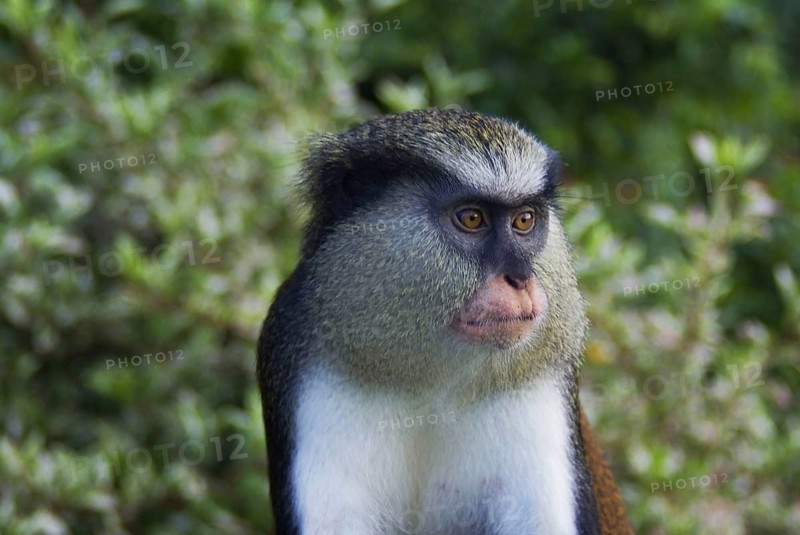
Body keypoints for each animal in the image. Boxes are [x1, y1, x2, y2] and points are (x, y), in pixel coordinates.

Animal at [257, 108, 633, 535]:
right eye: (471, 218)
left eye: (524, 220)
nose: (521, 278)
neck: (432, 381)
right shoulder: (300, 355)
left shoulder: (542, 381)